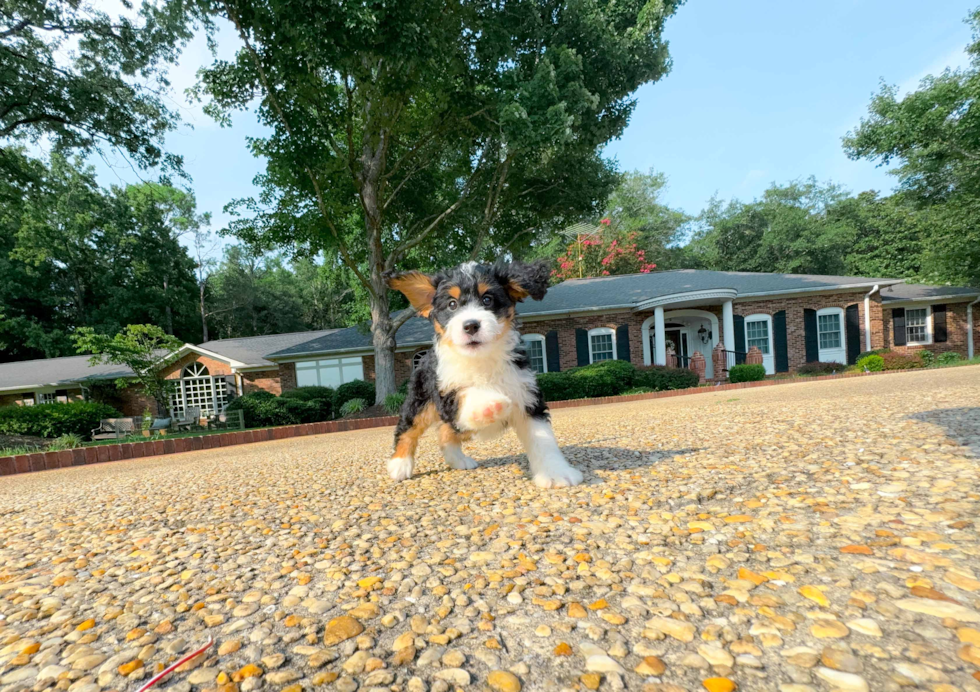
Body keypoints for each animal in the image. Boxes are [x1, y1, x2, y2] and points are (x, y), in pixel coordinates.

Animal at [382, 258, 580, 486]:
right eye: (452, 304)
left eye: (487, 300)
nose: (470, 325)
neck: (481, 359)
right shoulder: (447, 394)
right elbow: (467, 394)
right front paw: (488, 405)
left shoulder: (527, 396)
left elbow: (543, 438)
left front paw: (556, 473)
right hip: (419, 400)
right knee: (408, 429)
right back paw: (400, 464)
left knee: (446, 432)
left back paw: (458, 459)